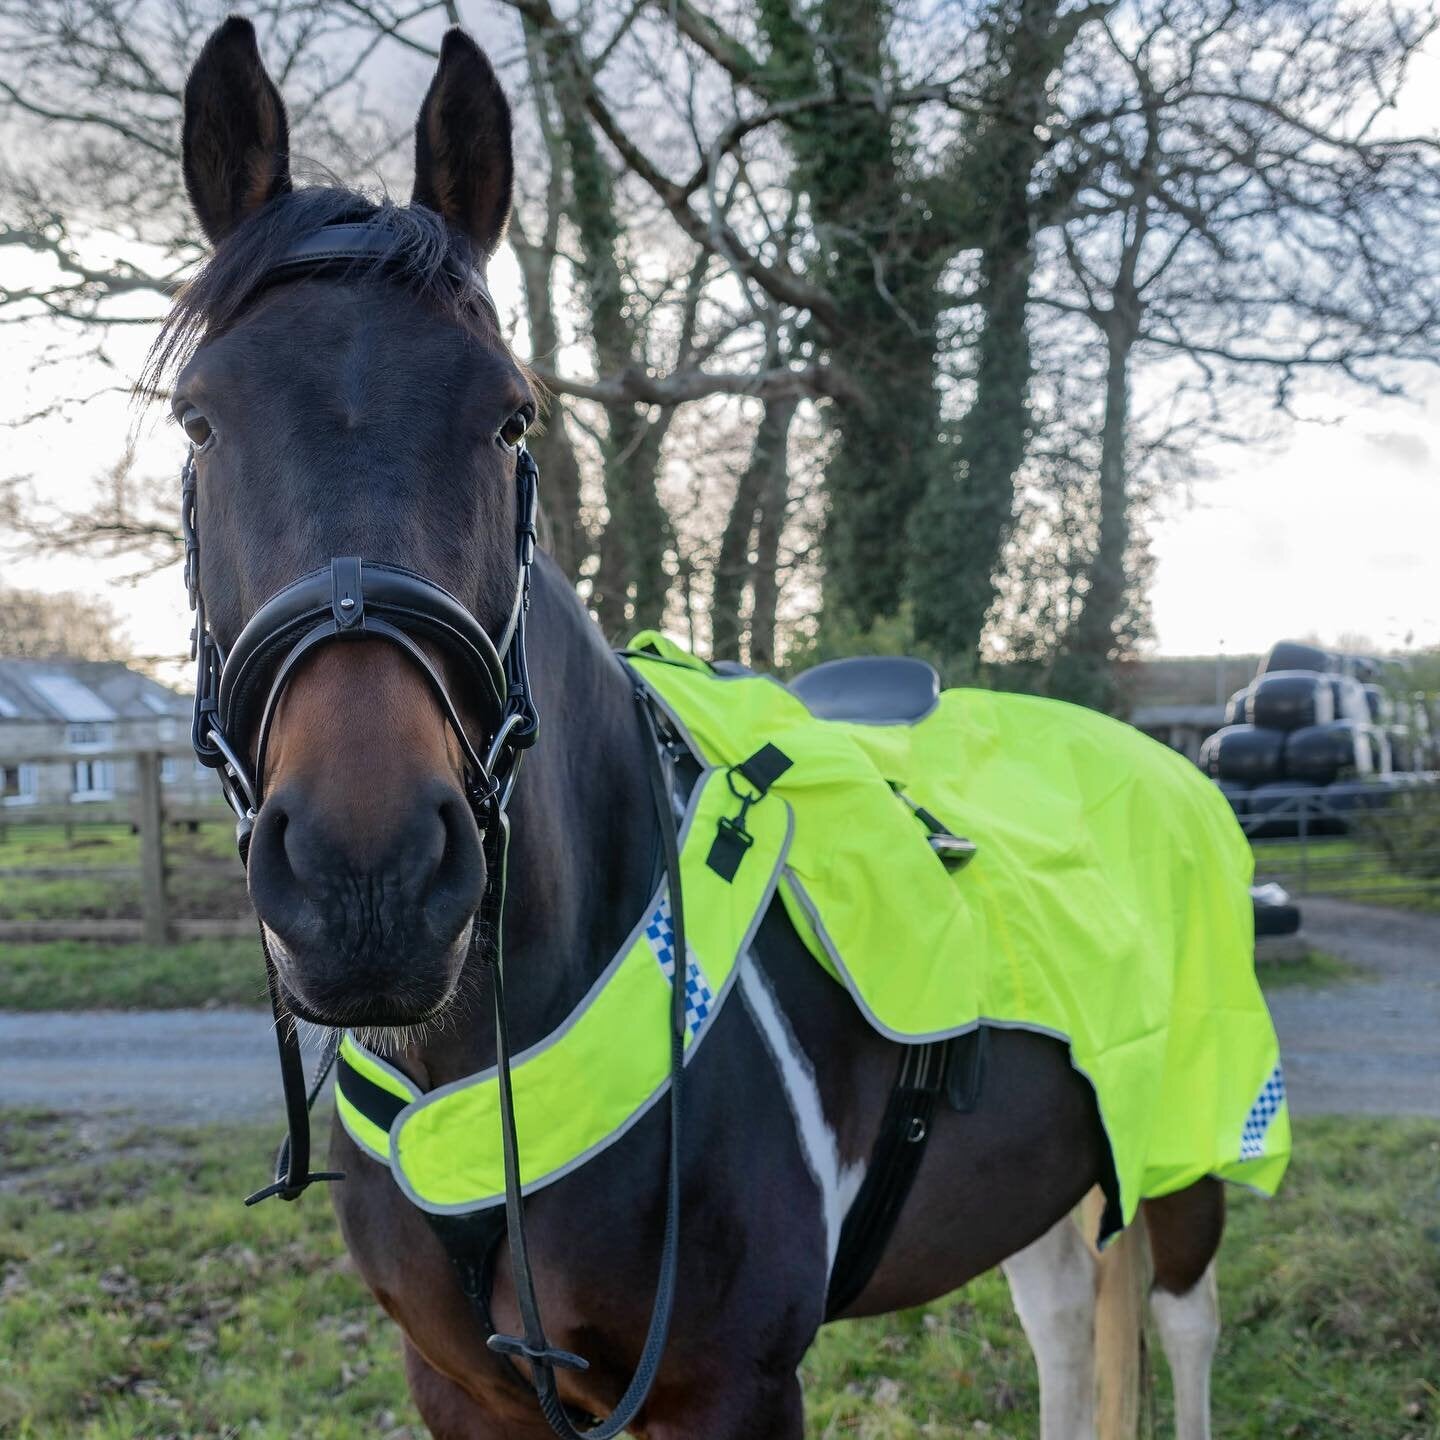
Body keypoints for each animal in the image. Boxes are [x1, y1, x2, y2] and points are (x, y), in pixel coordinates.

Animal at [165, 16, 1226, 1434]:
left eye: (510, 414)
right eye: (199, 418)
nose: (367, 879)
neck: (484, 1074)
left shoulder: (733, 1386)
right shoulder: (458, 1385)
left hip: (1186, 1142)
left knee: (1181, 1323)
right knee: (1062, 1322)